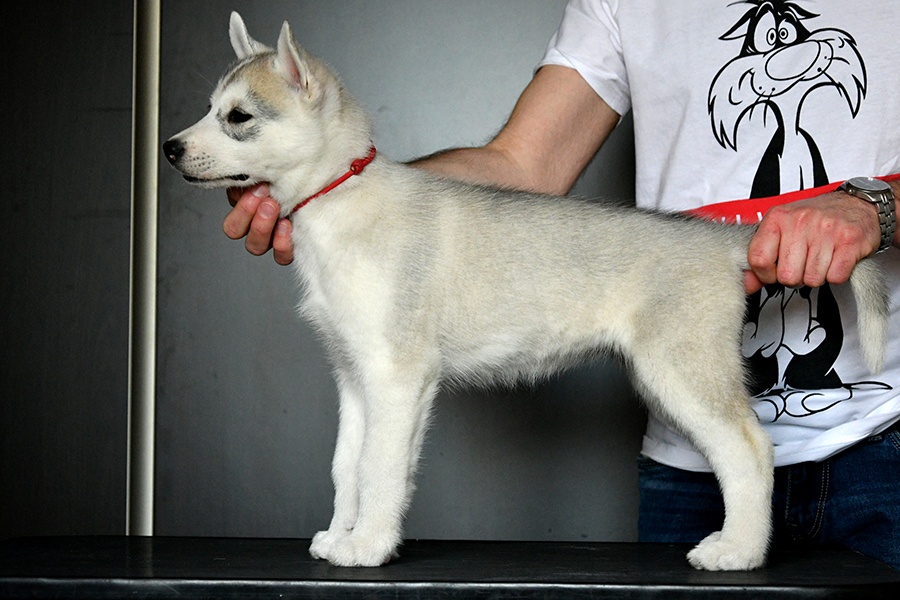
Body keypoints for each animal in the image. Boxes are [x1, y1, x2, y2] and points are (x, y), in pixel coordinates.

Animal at [163, 12, 889, 570]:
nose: (169, 148)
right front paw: (341, 537)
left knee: (749, 449)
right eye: (209, 108)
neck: (338, 200)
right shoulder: (353, 374)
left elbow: (379, 468)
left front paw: (369, 547)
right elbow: (348, 466)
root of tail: (722, 240)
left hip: (682, 370)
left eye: (238, 116)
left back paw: (737, 551)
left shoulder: (398, 374)